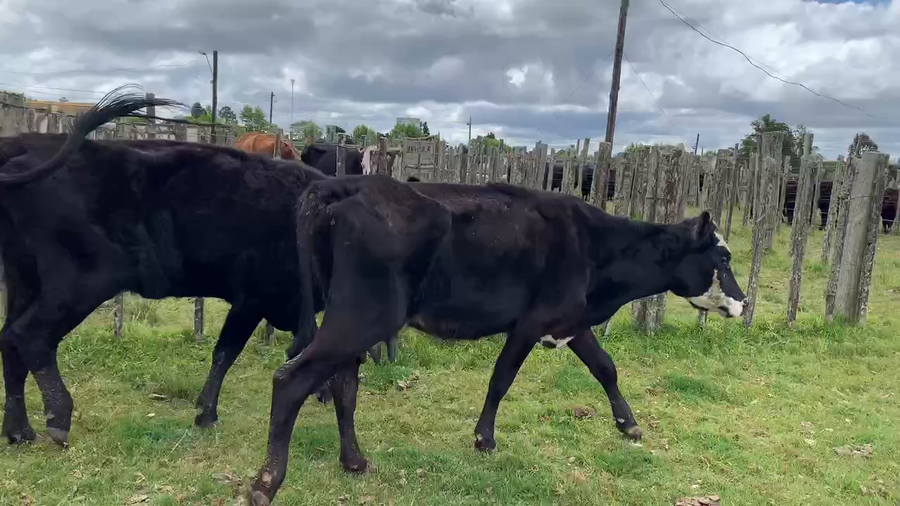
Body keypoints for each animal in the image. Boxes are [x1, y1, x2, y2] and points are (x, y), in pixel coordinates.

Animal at [0, 87, 356, 447]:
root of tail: (23, 145)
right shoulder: (254, 299)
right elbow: (226, 352)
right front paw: (207, 414)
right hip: (82, 281)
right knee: (29, 337)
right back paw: (58, 418)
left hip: (26, 280)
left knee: (8, 341)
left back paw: (19, 431)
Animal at [246, 175, 747, 505]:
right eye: (722, 257)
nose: (744, 303)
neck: (594, 245)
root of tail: (346, 185)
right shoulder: (528, 324)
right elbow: (501, 379)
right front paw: (484, 438)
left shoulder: (570, 320)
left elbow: (605, 366)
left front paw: (628, 424)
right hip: (360, 317)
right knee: (292, 379)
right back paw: (266, 483)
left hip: (352, 319)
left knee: (344, 383)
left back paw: (354, 461)